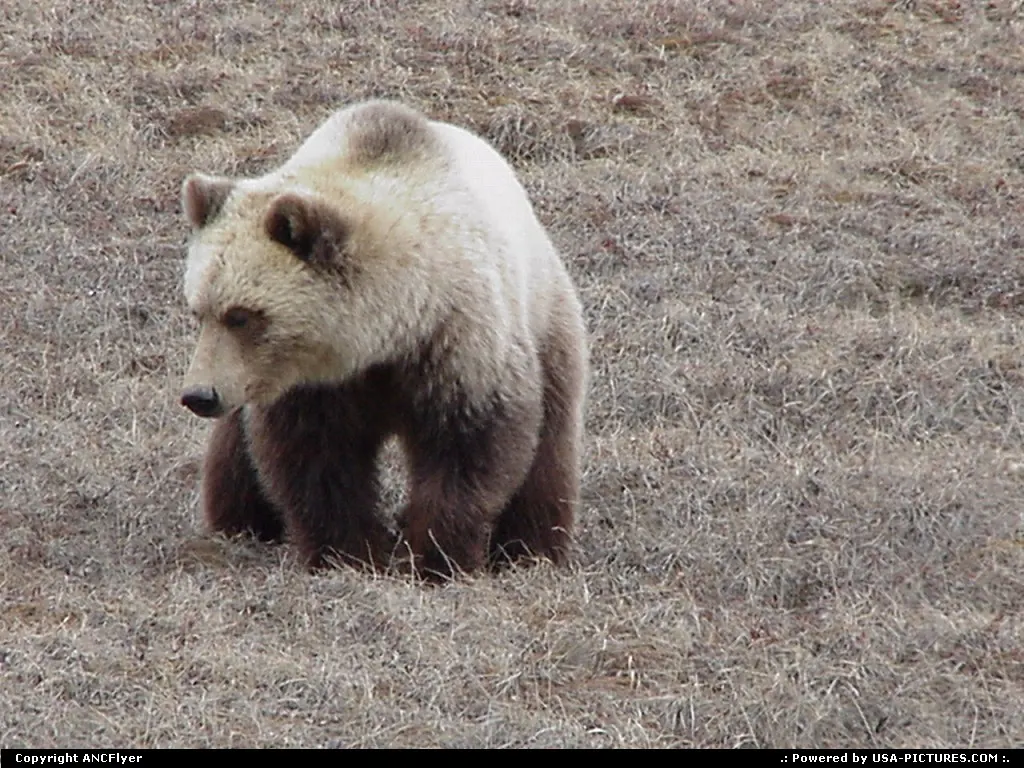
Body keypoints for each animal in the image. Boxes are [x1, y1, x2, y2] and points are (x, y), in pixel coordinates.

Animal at [178, 100, 588, 580]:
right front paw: (348, 553)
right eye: (199, 310)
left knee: (551, 440)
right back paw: (240, 522)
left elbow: (469, 448)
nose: (199, 395)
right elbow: (316, 461)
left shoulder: (458, 342)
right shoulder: (313, 386)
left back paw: (532, 546)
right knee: (235, 447)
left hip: (546, 315)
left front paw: (435, 556)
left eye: (242, 315)